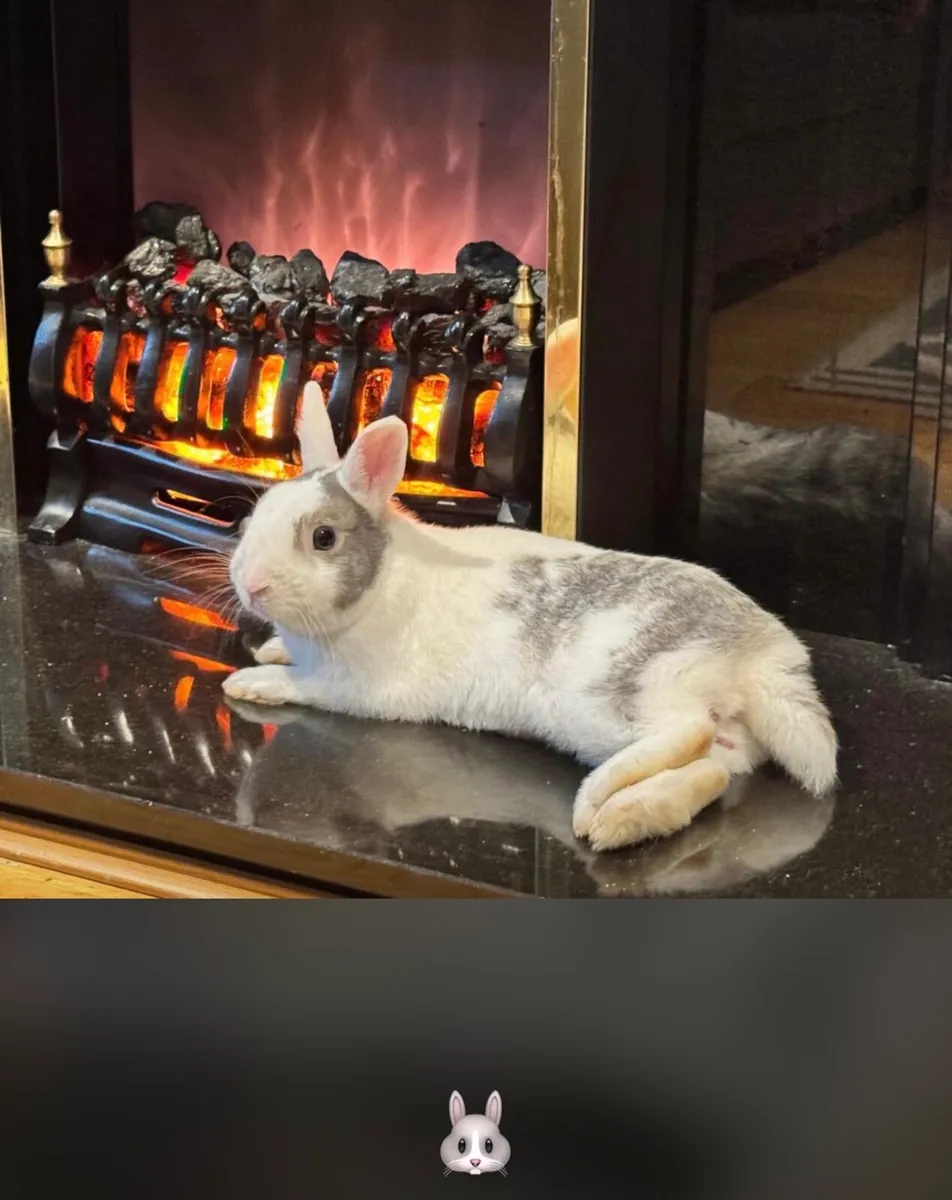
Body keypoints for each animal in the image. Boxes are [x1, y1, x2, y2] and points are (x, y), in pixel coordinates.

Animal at [222, 381, 837, 852]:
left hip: (620, 694)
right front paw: (268, 648)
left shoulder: (354, 687)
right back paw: (624, 819)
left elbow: (300, 684)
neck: (379, 581)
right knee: (709, 768)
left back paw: (595, 808)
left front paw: (250, 679)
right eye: (258, 511)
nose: (251, 585)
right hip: (697, 735)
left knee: (686, 732)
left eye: (324, 538)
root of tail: (761, 654)